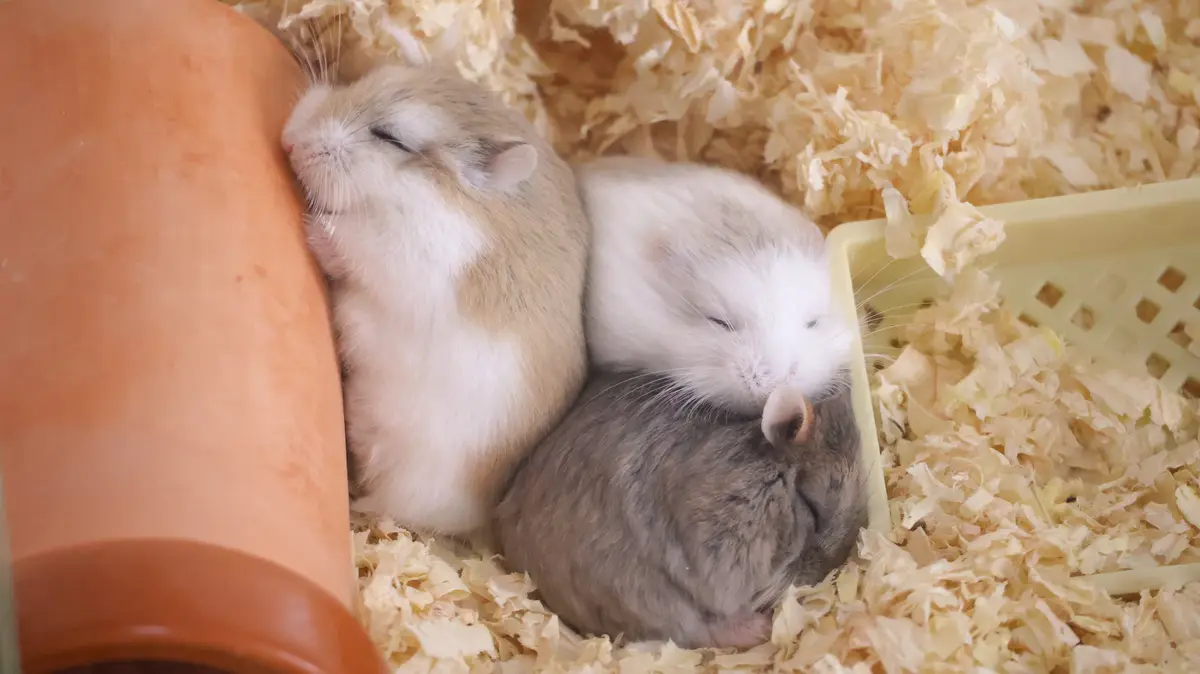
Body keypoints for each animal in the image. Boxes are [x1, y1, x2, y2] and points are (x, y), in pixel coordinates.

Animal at [281, 63, 590, 535]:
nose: (289, 139)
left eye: (390, 136)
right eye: (364, 80)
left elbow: (348, 242)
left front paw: (312, 225)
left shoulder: (406, 252)